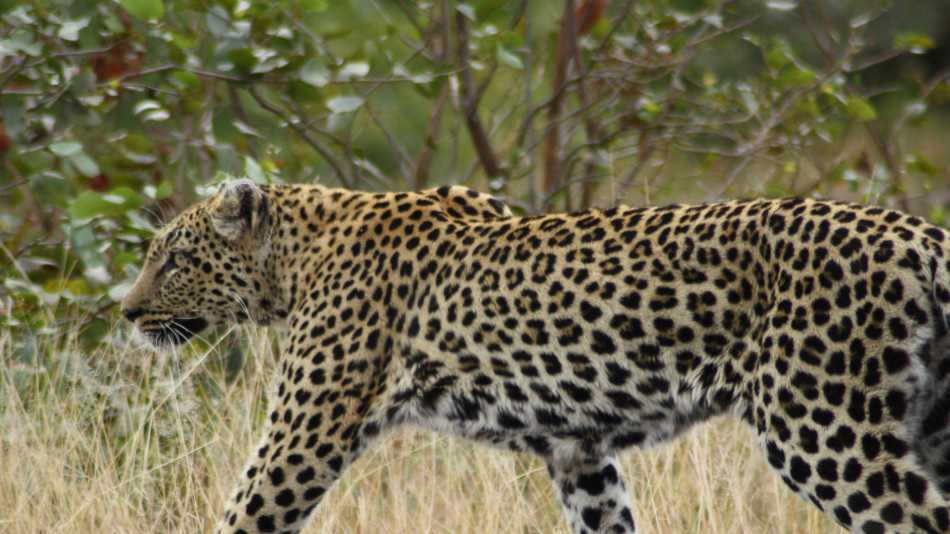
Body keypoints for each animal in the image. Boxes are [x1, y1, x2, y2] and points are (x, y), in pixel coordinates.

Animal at [122, 179, 950, 534]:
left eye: (174, 259)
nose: (125, 312)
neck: (296, 256)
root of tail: (920, 233)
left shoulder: (304, 434)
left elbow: (241, 513)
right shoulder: (578, 450)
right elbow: (607, 520)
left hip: (829, 432)